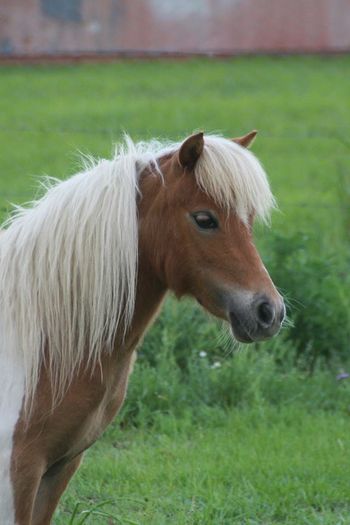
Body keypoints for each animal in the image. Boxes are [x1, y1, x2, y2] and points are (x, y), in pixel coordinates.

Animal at [0, 129, 284, 520]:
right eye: (204, 219)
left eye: (250, 220)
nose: (269, 312)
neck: (34, 345)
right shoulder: (17, 473)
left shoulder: (58, 468)